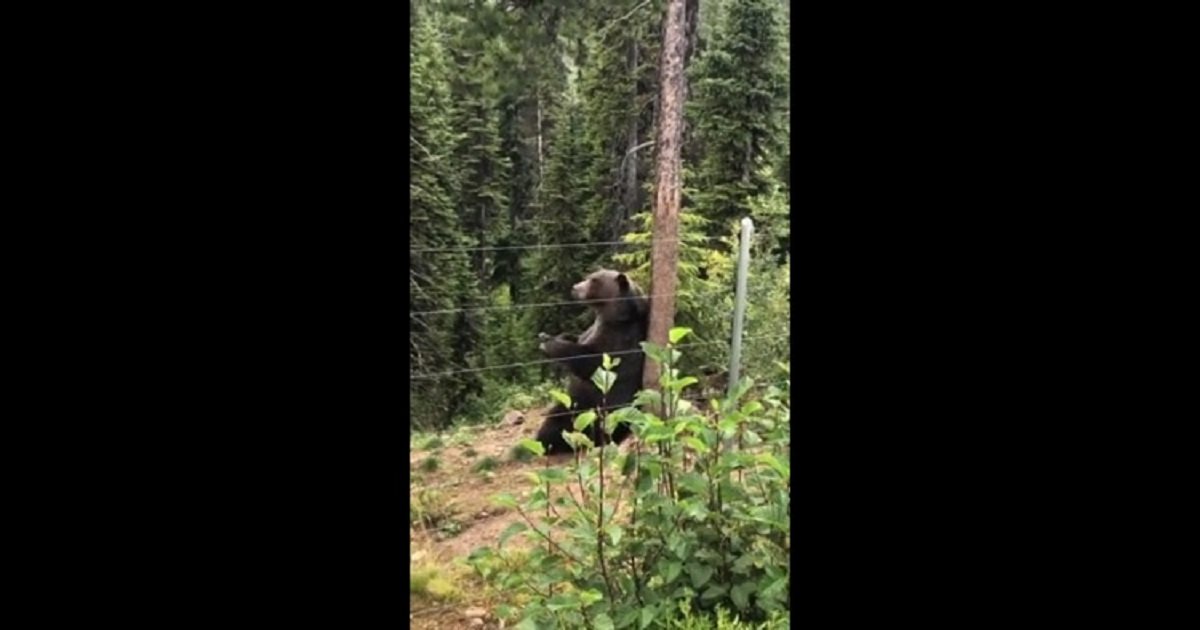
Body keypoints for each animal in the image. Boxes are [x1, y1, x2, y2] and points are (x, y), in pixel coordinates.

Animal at [535, 267, 648, 453]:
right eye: (589, 277)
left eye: (594, 280)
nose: (575, 287)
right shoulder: (592, 330)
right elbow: (577, 337)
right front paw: (547, 335)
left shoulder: (620, 339)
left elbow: (591, 362)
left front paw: (549, 344)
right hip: (571, 402)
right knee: (556, 416)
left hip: (597, 412)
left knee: (566, 428)